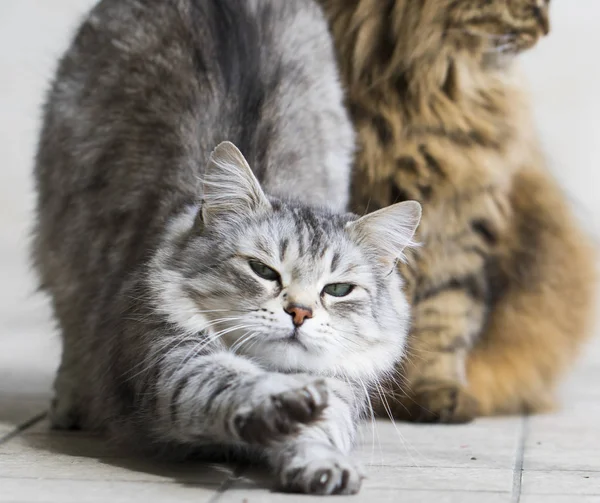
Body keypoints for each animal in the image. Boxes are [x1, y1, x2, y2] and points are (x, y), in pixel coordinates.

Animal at [30, 0, 420, 496]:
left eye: (337, 290)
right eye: (263, 270)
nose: (300, 312)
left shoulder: (340, 386)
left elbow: (321, 427)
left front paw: (320, 463)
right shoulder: (170, 359)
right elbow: (232, 382)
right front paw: (278, 403)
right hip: (62, 246)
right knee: (72, 328)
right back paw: (71, 402)